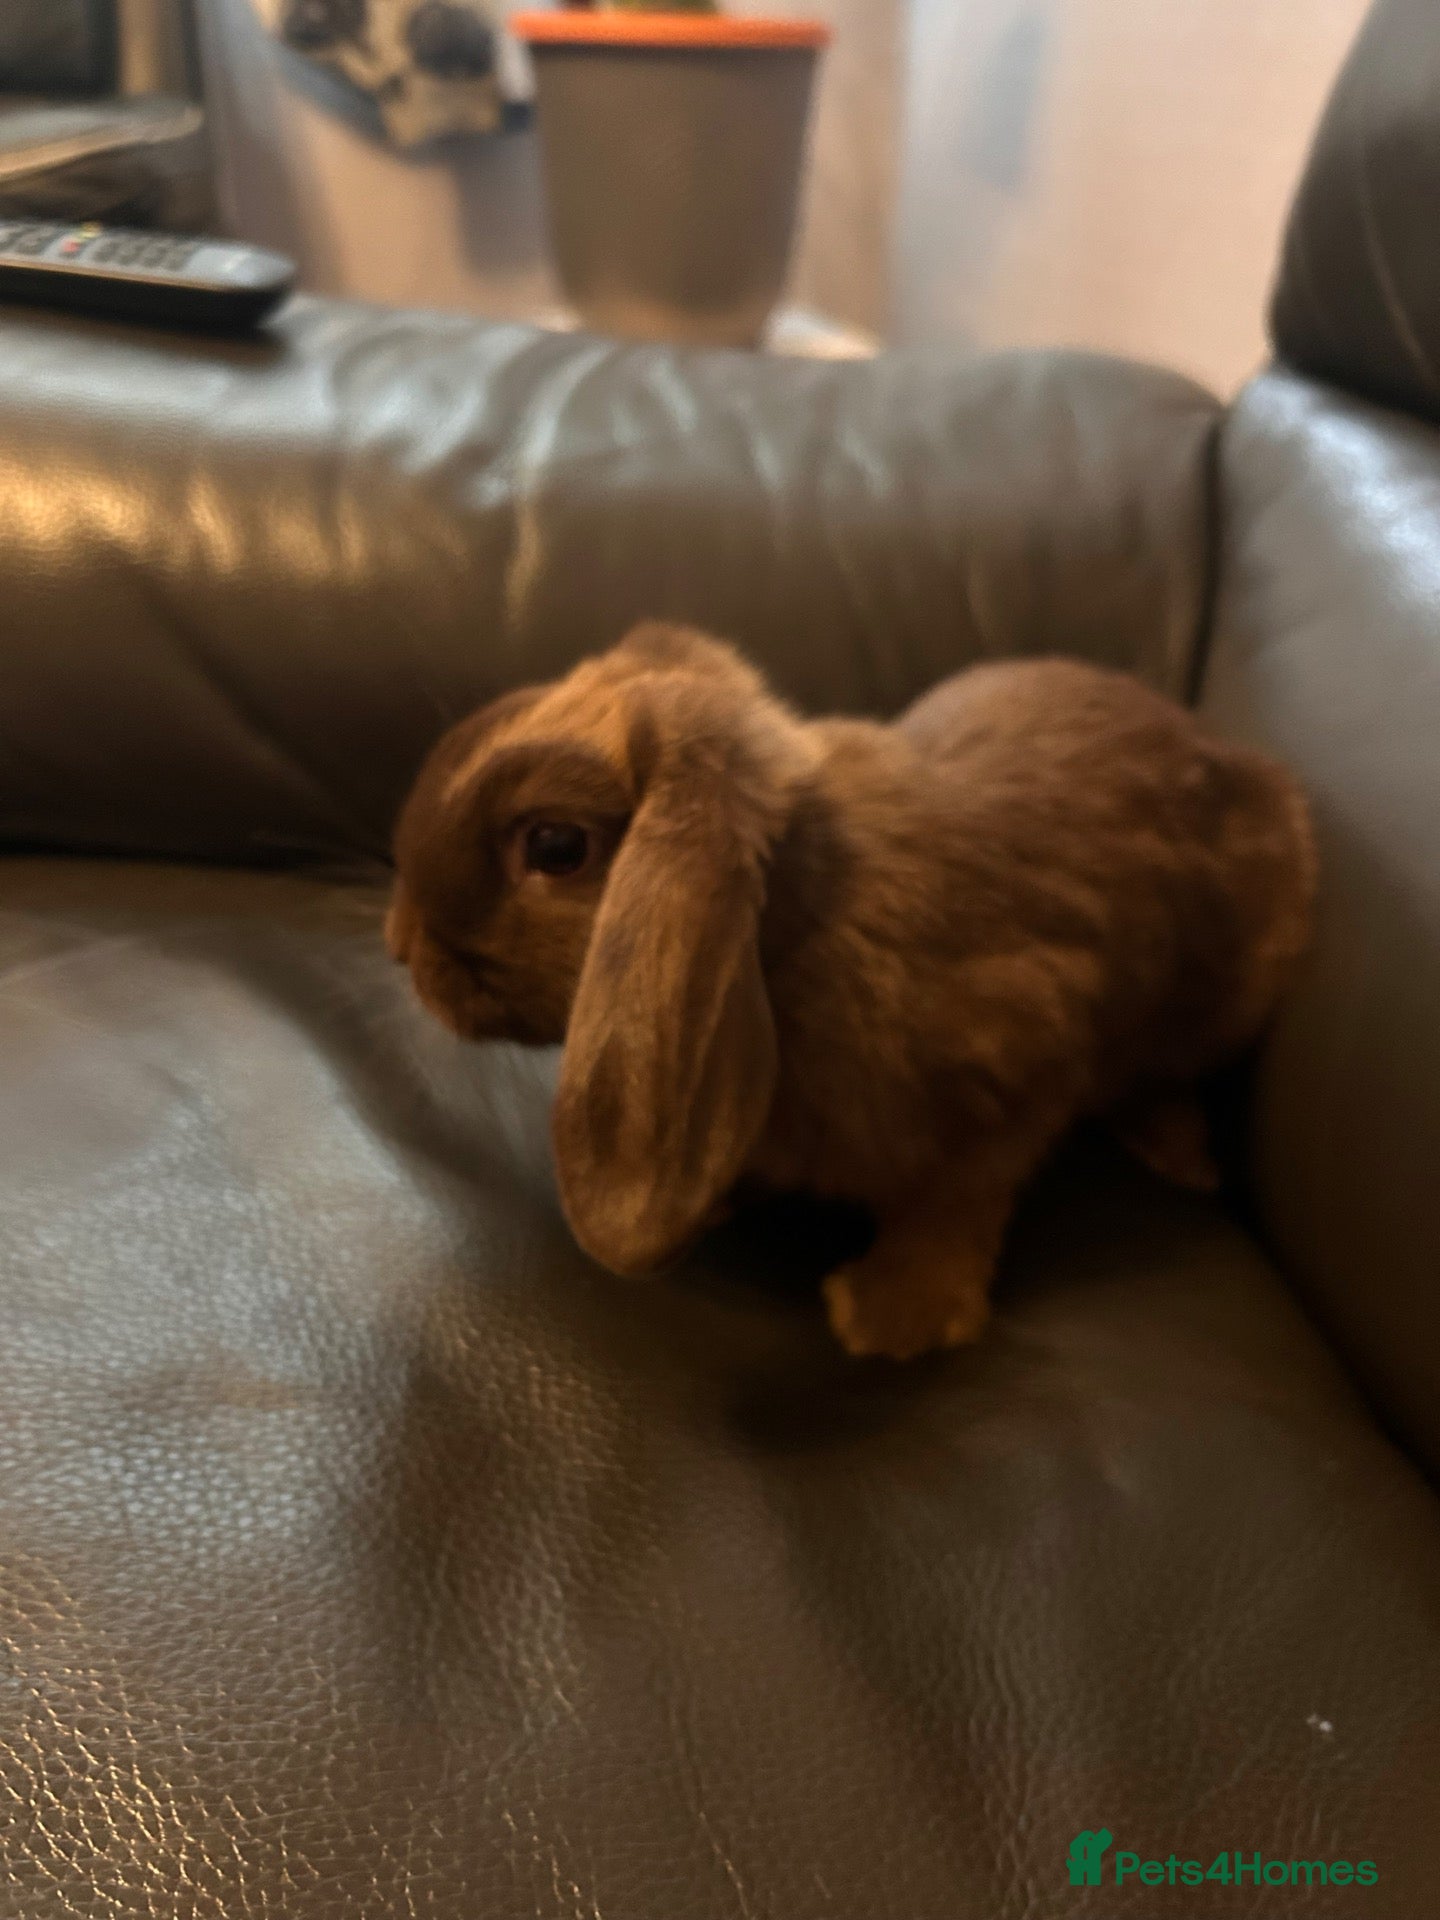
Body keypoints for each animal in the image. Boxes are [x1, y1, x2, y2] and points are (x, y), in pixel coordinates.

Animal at [387, 622, 1315, 1360]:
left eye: (554, 846)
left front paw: (890, 1319)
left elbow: (957, 1203)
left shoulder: (1022, 1077)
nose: (401, 944)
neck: (790, 937)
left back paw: (1181, 1157)